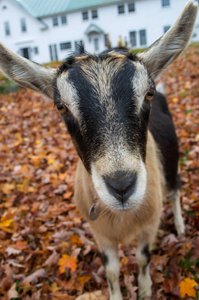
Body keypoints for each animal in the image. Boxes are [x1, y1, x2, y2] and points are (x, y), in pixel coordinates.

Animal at [0, 1, 197, 298]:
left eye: (147, 93)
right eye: (61, 106)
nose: (122, 185)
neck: (122, 219)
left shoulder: (149, 225)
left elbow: (143, 258)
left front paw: (145, 290)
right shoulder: (100, 233)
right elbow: (111, 270)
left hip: (171, 164)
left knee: (175, 190)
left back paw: (181, 226)